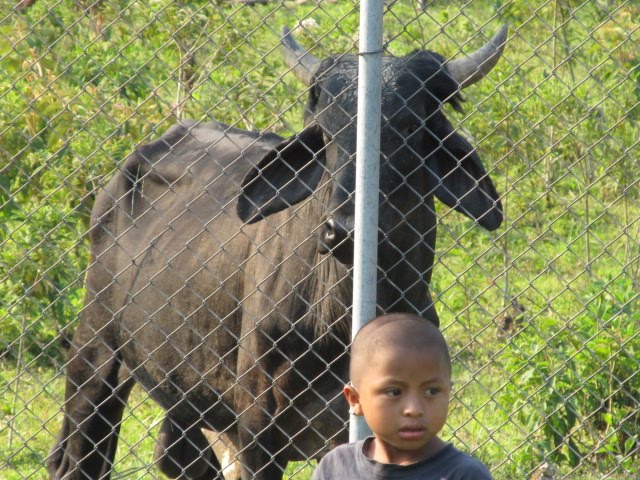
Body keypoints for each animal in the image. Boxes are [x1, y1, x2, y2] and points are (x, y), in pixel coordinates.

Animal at [48, 25, 504, 480]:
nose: (345, 230)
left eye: (409, 126)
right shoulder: (258, 427)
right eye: (325, 131)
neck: (338, 316)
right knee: (78, 459)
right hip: (95, 360)